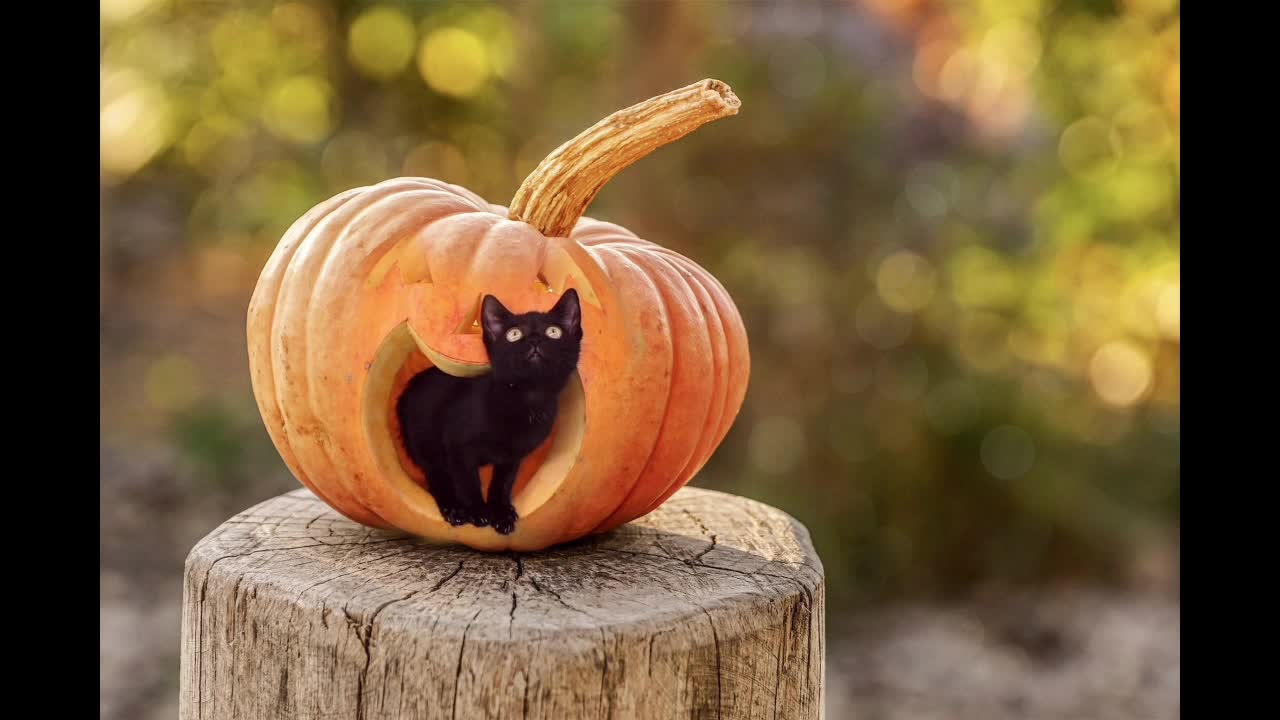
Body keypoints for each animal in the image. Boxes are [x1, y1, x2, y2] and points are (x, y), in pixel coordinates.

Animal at [394, 286, 586, 532]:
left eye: (554, 332)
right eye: (514, 334)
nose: (534, 340)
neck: (526, 399)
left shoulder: (512, 456)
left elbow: (502, 483)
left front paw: (501, 513)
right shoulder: (458, 446)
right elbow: (468, 481)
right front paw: (477, 511)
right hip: (424, 440)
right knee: (437, 475)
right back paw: (453, 508)